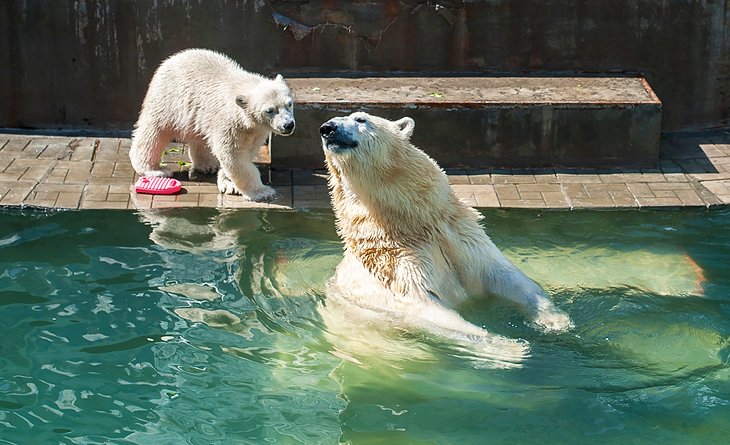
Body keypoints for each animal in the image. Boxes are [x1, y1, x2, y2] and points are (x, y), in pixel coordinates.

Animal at [128, 48, 292, 201]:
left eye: (289, 103)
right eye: (270, 110)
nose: (288, 125)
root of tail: (171, 59)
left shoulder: (256, 130)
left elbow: (245, 153)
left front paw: (228, 182)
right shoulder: (229, 122)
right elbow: (234, 156)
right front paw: (262, 192)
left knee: (199, 136)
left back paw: (208, 165)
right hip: (168, 99)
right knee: (155, 132)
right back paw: (155, 170)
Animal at [322, 111, 572, 364]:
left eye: (361, 119)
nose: (328, 128)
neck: (411, 225)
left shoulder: (460, 236)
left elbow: (504, 276)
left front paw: (555, 321)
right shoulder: (394, 268)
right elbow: (424, 308)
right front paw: (509, 347)